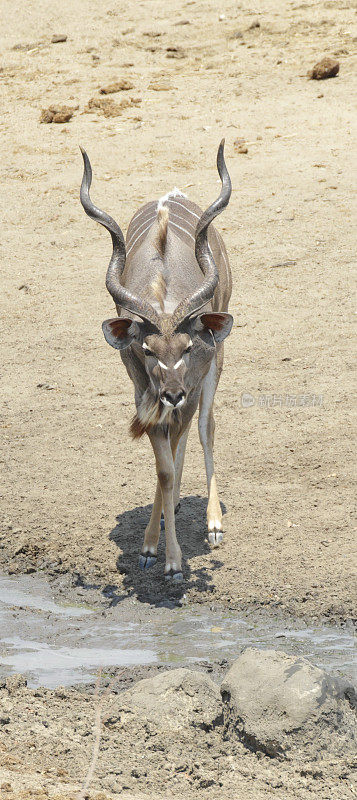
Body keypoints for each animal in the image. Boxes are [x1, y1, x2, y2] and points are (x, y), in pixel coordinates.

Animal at [79, 141, 232, 580]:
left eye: (187, 347)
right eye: (147, 350)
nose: (173, 394)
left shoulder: (194, 382)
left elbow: (184, 444)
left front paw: (174, 561)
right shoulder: (143, 391)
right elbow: (163, 468)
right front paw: (153, 550)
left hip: (217, 361)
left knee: (204, 428)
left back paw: (213, 523)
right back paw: (171, 510)